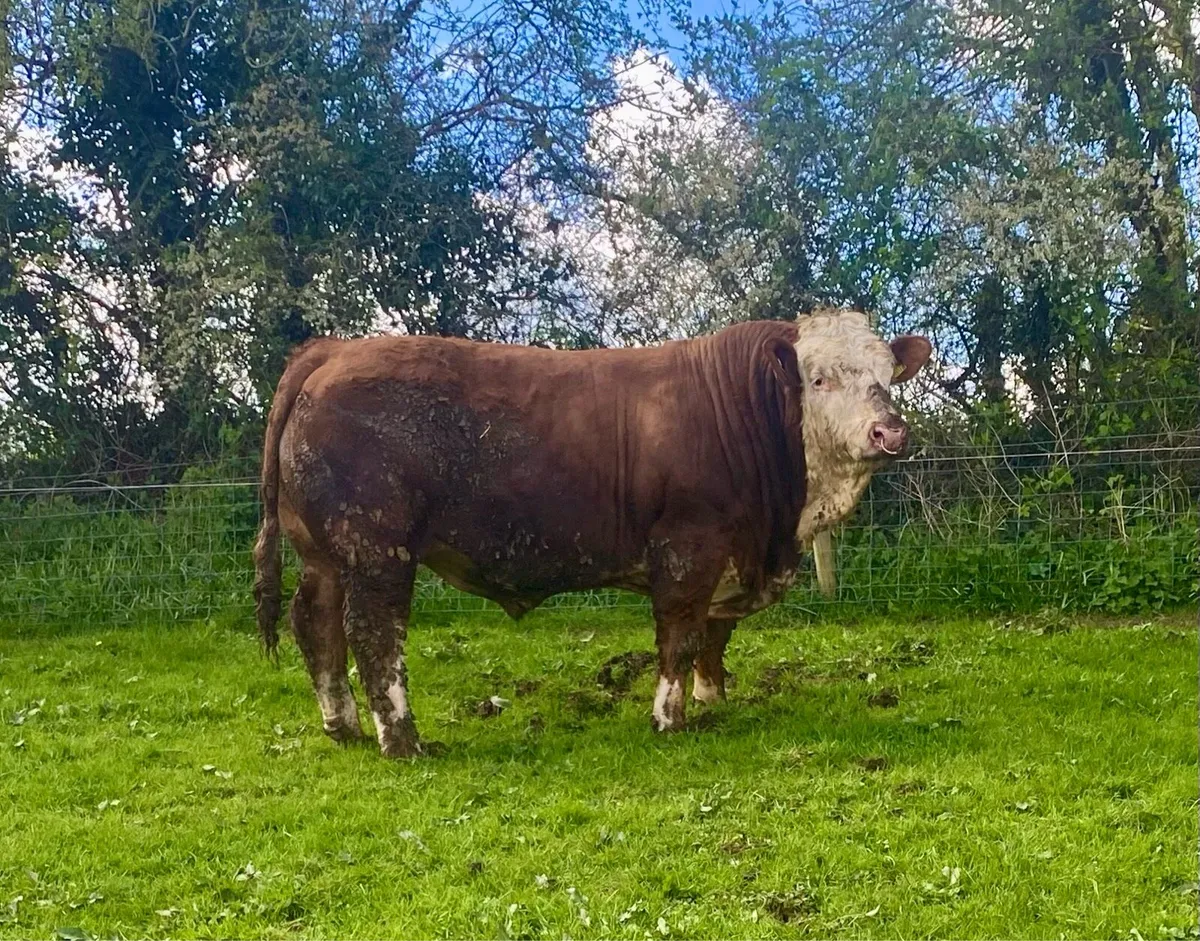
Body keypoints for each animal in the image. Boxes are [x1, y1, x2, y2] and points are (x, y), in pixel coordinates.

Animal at [253, 308, 931, 757]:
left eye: (887, 376)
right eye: (819, 380)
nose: (889, 430)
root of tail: (334, 350)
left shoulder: (733, 554)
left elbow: (714, 634)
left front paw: (712, 699)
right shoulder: (689, 544)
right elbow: (680, 633)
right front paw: (670, 718)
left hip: (324, 554)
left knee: (314, 623)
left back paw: (342, 727)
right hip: (375, 547)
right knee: (373, 634)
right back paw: (402, 740)